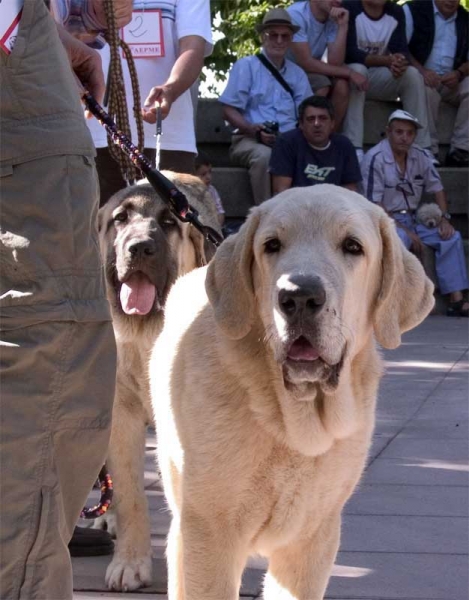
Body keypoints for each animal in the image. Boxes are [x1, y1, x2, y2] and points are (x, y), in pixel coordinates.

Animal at [148, 185, 434, 596]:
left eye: (352, 246)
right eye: (272, 245)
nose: (299, 296)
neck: (295, 422)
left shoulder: (314, 539)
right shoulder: (210, 531)